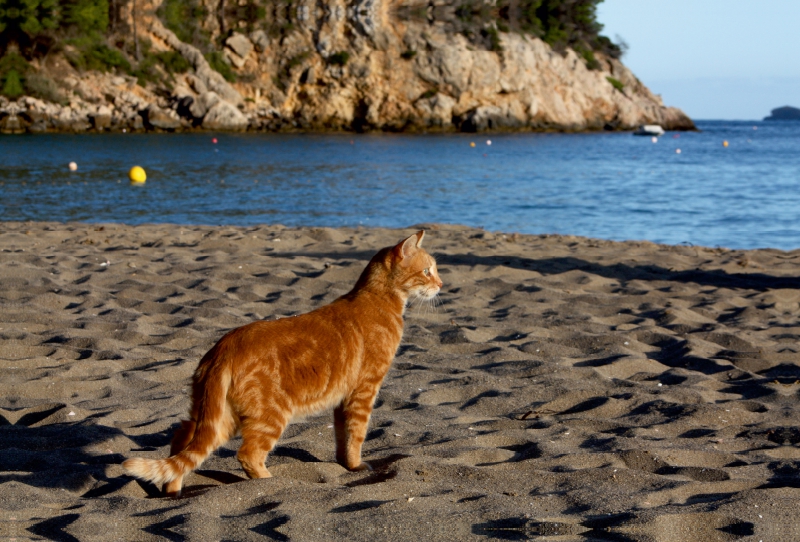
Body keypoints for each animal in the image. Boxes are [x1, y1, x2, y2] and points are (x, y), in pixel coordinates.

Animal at [123, 230, 444, 498]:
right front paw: (355, 466)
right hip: (270, 415)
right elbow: (357, 434)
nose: (441, 284)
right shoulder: (364, 390)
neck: (378, 299)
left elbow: (342, 436)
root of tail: (224, 348)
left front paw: (345, 465)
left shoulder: (342, 398)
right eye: (427, 271)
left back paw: (173, 492)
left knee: (182, 440)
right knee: (247, 455)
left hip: (215, 415)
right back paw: (270, 482)